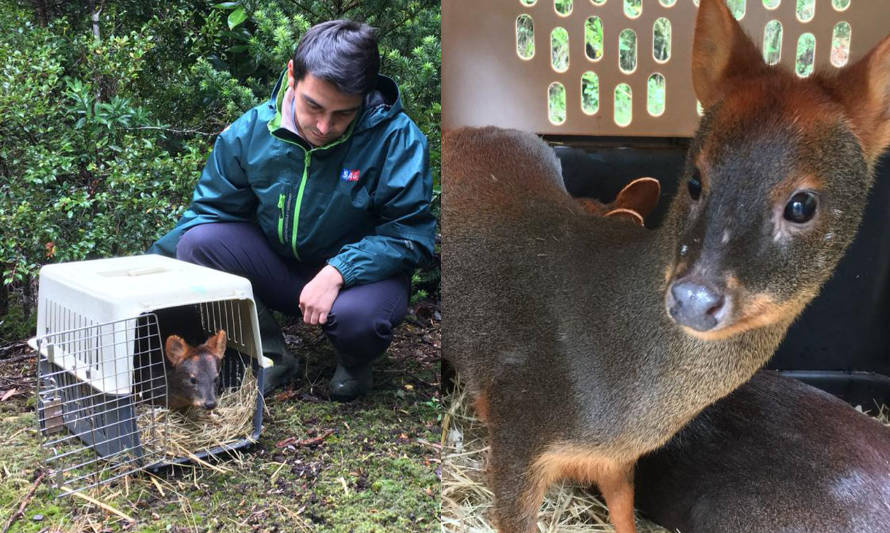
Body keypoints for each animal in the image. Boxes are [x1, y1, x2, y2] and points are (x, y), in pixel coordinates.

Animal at [444, 0, 890, 528]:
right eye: (694, 180)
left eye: (802, 205)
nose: (693, 297)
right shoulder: (517, 431)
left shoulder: (617, 460)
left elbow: (624, 515)